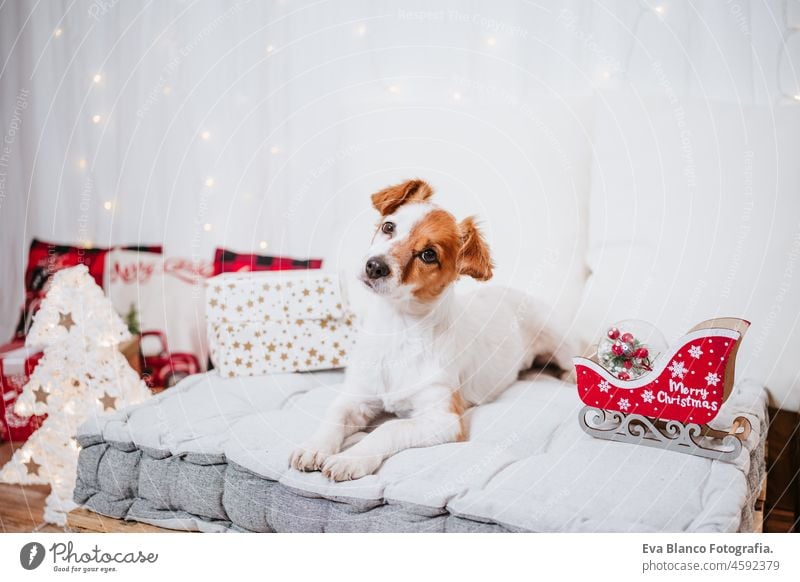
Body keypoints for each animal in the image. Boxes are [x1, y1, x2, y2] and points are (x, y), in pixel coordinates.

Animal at [290, 180, 572, 482]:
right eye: (389, 226)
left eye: (428, 255)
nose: (375, 266)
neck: (397, 329)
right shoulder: (358, 397)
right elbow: (334, 415)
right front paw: (315, 446)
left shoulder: (445, 419)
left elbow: (389, 428)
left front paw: (352, 457)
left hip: (560, 340)